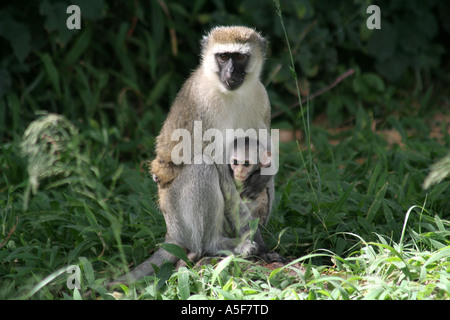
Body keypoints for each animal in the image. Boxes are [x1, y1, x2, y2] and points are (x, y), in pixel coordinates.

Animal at [118, 26, 284, 284]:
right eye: (223, 57)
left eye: (239, 57)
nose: (230, 72)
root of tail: (172, 233)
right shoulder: (203, 105)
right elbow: (219, 169)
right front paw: (253, 241)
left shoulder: (261, 97)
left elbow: (265, 152)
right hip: (177, 214)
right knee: (202, 167)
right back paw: (215, 245)